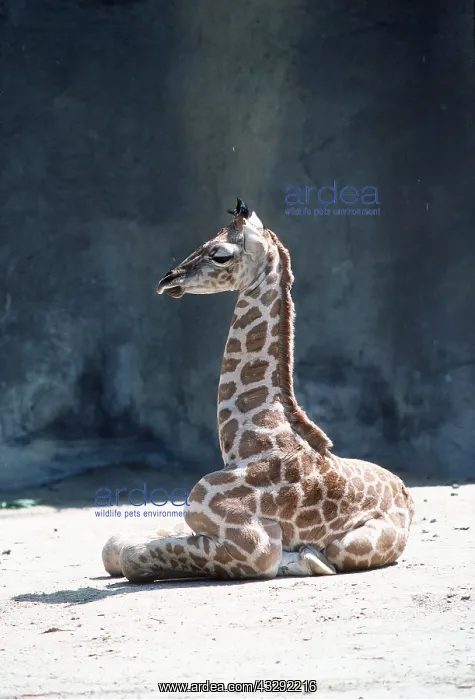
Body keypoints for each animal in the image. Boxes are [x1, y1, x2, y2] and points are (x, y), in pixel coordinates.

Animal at [102, 198, 415, 583]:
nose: (167, 280)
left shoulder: (255, 547)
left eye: (220, 254)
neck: (249, 439)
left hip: (352, 544)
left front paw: (304, 560)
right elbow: (115, 546)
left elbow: (132, 556)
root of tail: (406, 493)